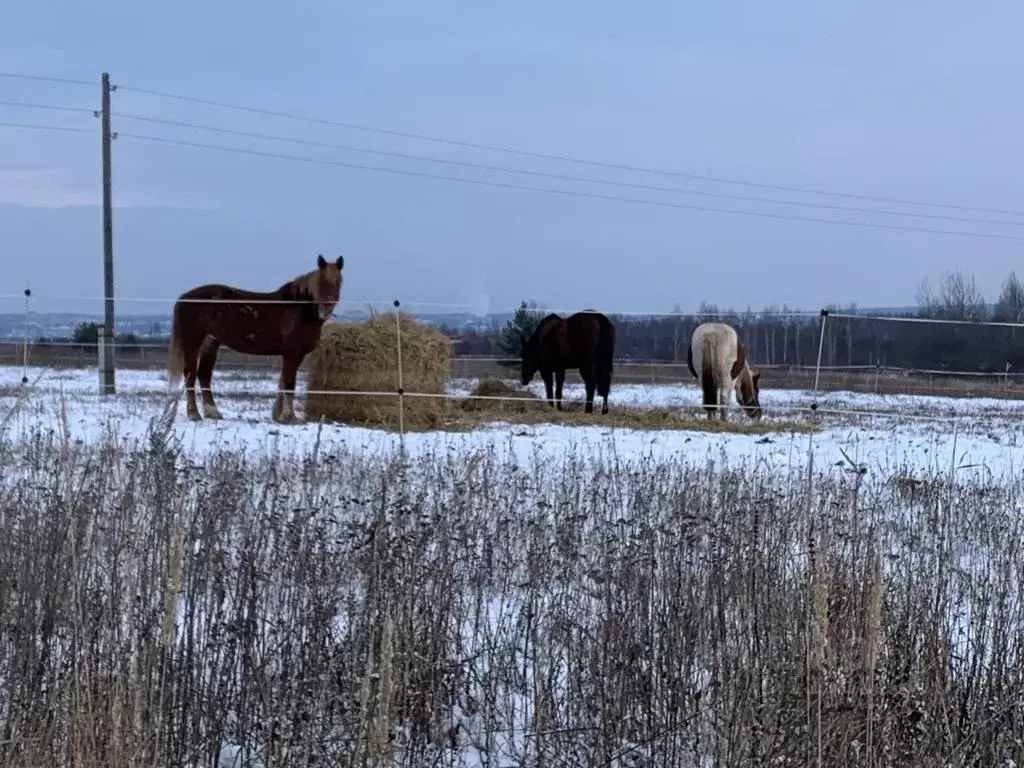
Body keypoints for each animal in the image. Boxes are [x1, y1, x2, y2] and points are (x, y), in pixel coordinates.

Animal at [165, 257, 344, 428]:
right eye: (320, 281)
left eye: (338, 282)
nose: (326, 308)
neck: (298, 308)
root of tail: (183, 298)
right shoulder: (293, 354)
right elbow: (288, 384)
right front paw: (289, 417)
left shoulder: (289, 355)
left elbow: (281, 382)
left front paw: (278, 416)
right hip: (192, 342)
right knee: (190, 374)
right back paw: (194, 414)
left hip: (210, 343)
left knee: (204, 374)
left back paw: (212, 412)